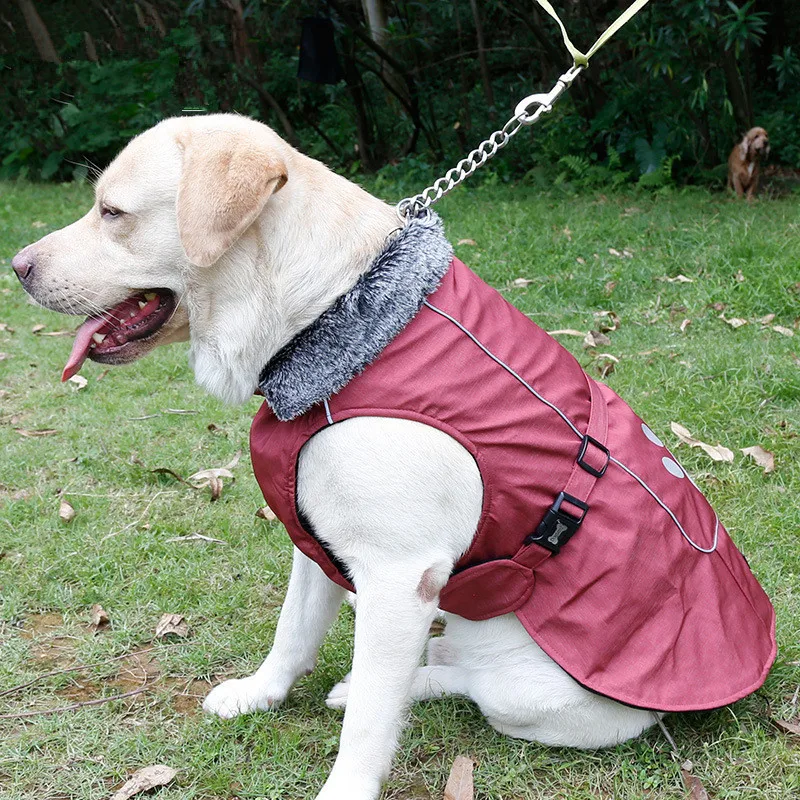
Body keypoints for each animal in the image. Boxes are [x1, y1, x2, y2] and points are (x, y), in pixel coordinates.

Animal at [14, 114, 664, 800]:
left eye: (112, 212)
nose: (17, 266)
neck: (329, 319)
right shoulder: (313, 530)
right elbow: (293, 630)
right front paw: (259, 693)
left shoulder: (402, 575)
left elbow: (372, 721)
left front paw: (347, 780)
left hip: (532, 693)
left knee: (462, 682)